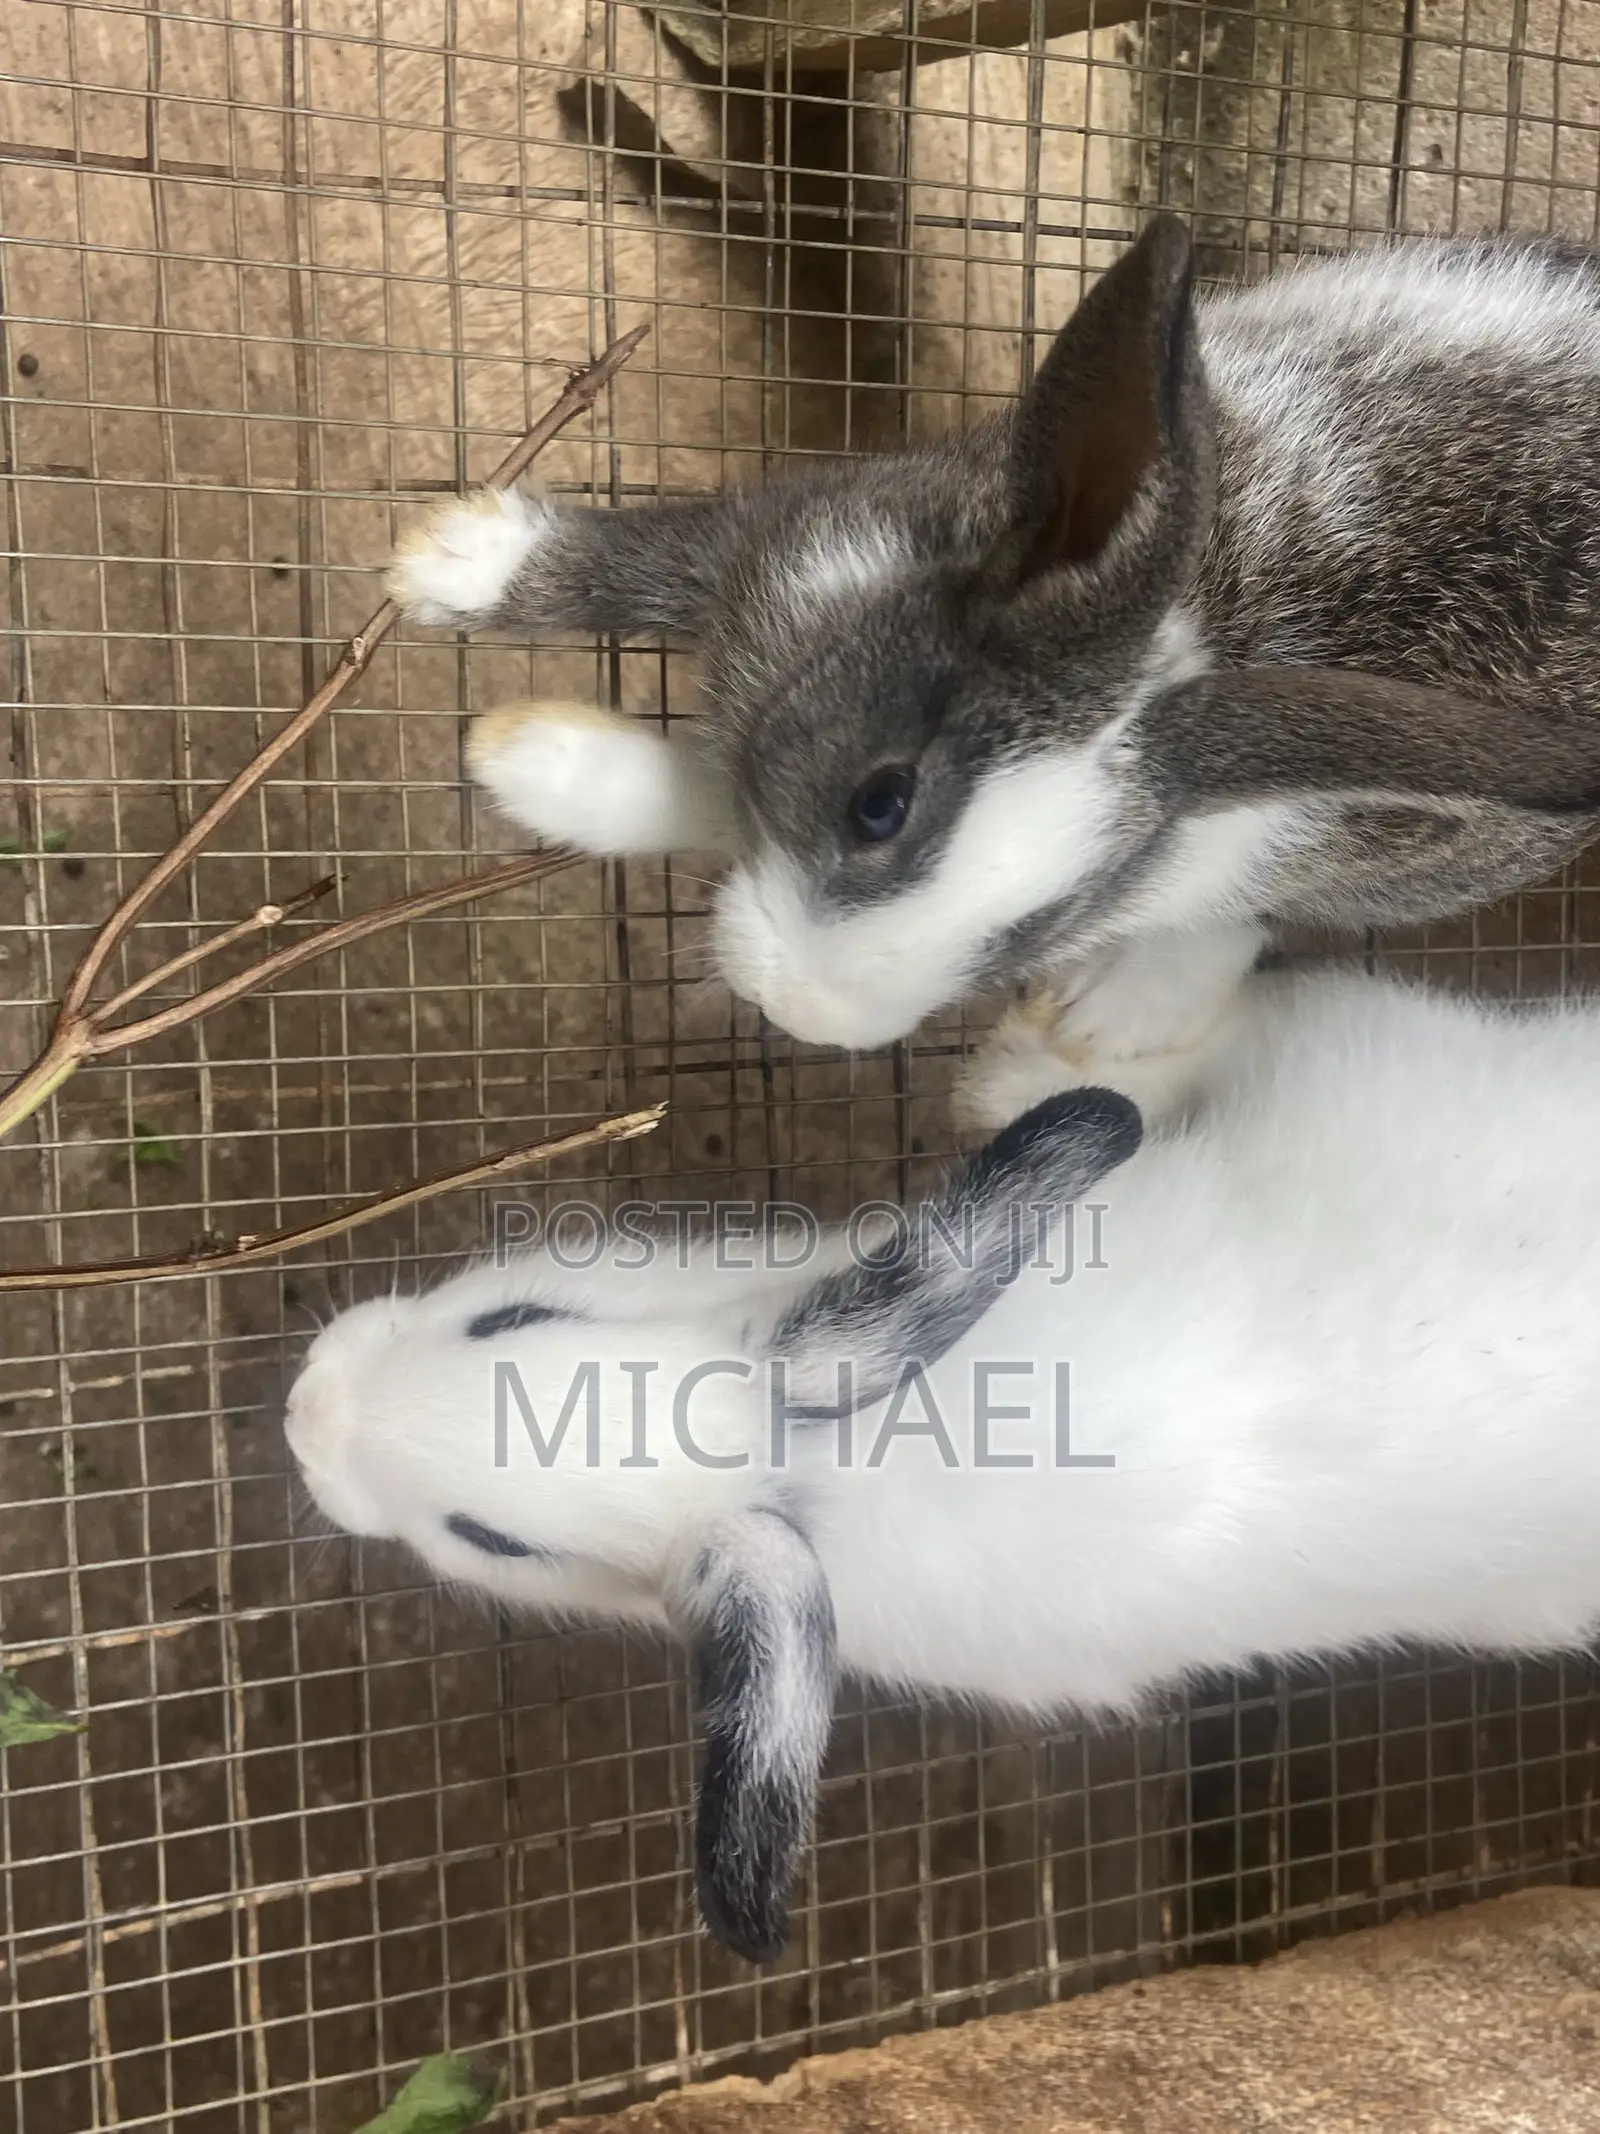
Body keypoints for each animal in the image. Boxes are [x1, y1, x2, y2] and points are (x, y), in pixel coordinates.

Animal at [386, 217, 1600, 1105]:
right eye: (878, 800)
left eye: (1040, 923)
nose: (796, 1014)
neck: (1208, 626)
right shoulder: (796, 545)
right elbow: (653, 573)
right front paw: (454, 571)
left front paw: (531, 756)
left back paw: (1120, 1014)